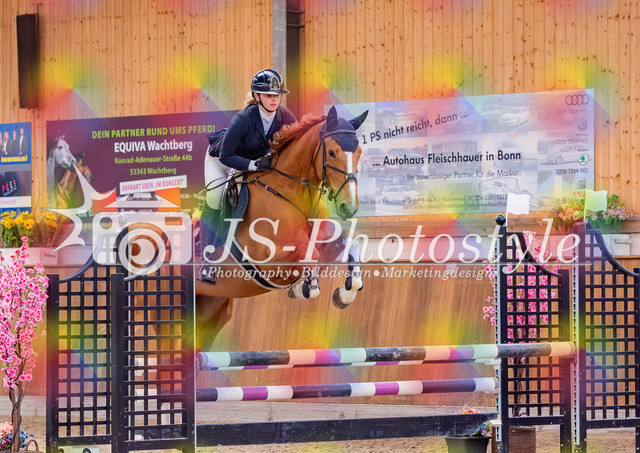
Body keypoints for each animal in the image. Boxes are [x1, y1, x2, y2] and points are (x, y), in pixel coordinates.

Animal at [193, 106, 368, 351]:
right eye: (332, 153)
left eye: (359, 152)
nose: (349, 208)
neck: (293, 192)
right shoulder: (268, 257)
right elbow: (309, 252)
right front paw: (305, 288)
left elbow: (349, 243)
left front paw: (344, 295)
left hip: (211, 311)